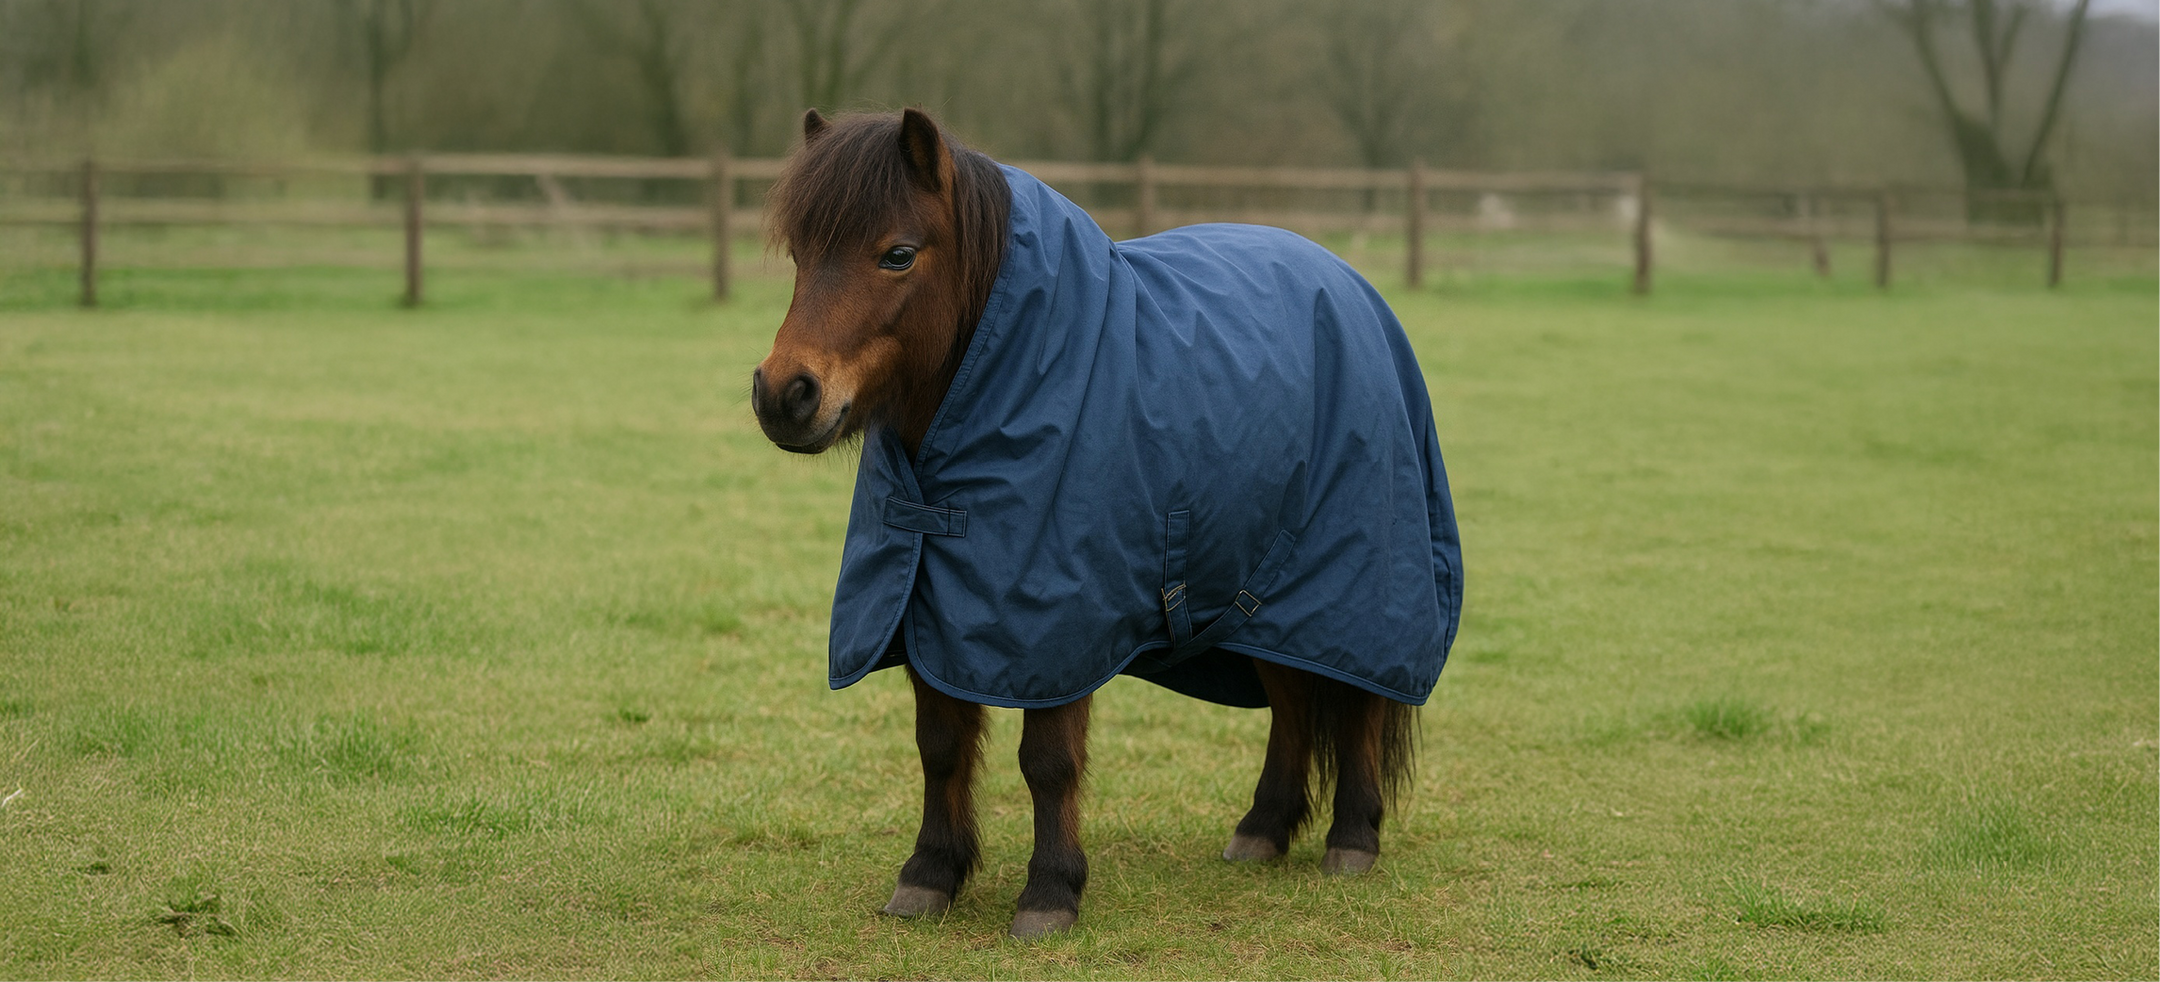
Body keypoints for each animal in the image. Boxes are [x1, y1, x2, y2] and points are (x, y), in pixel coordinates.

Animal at [752, 108, 1462, 938]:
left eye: (897, 254)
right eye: (800, 253)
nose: (784, 395)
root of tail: (1353, 288)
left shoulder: (1058, 626)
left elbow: (1048, 762)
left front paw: (1051, 892)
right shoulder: (930, 606)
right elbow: (940, 745)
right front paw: (929, 875)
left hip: (1359, 589)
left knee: (1358, 706)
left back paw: (1352, 838)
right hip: (1265, 598)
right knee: (1293, 699)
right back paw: (1263, 829)